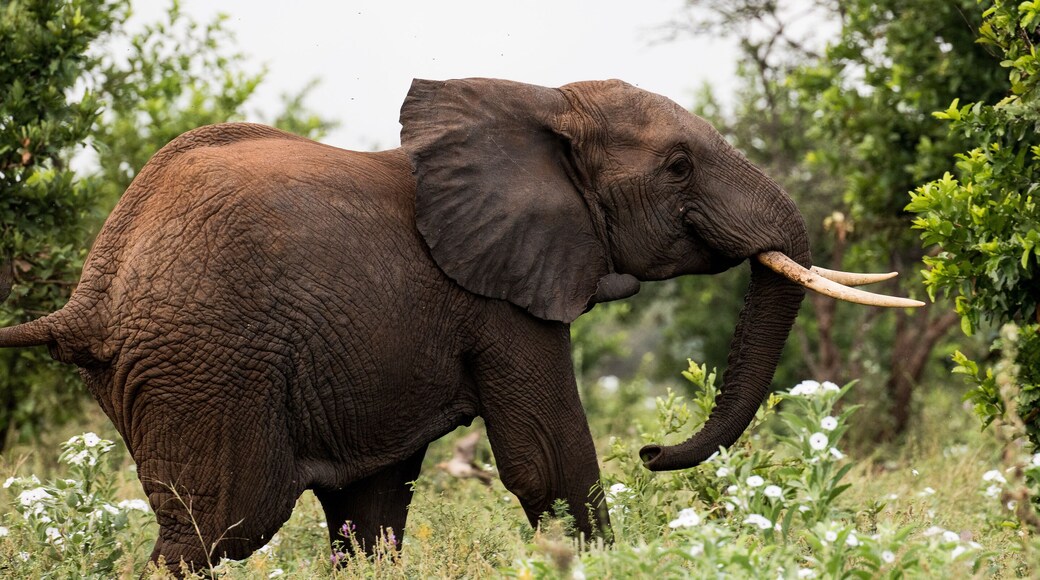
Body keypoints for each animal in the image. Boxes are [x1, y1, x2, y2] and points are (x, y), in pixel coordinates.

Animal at [0, 77, 918, 572]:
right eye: (679, 167)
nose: (654, 450)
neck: (541, 105)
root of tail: (93, 289)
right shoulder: (501, 298)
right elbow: (548, 459)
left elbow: (375, 510)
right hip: (204, 365)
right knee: (218, 526)